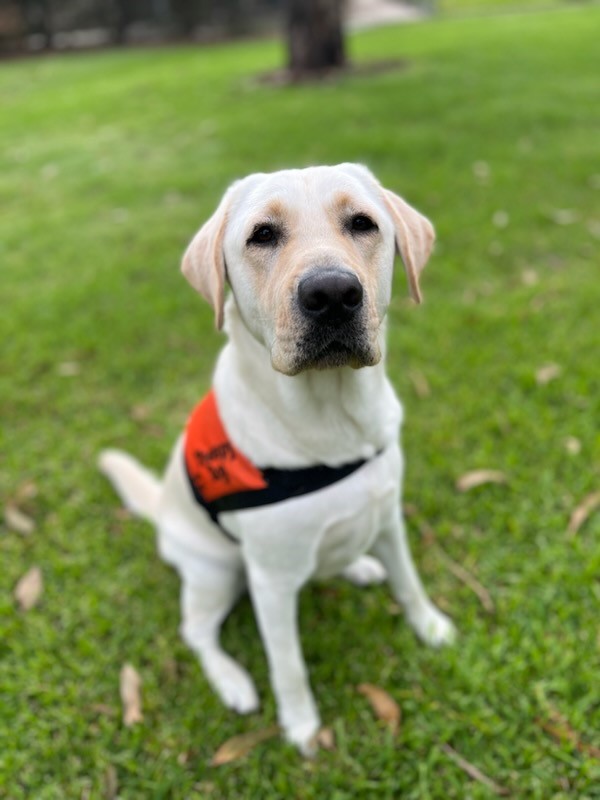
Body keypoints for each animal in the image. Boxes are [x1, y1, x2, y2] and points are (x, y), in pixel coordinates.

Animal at [98, 164, 454, 756]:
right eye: (262, 235)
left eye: (363, 223)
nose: (332, 293)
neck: (332, 421)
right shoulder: (271, 581)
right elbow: (288, 663)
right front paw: (301, 724)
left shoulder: (387, 516)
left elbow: (408, 582)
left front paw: (429, 626)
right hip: (216, 571)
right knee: (197, 632)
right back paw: (231, 680)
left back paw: (358, 565)